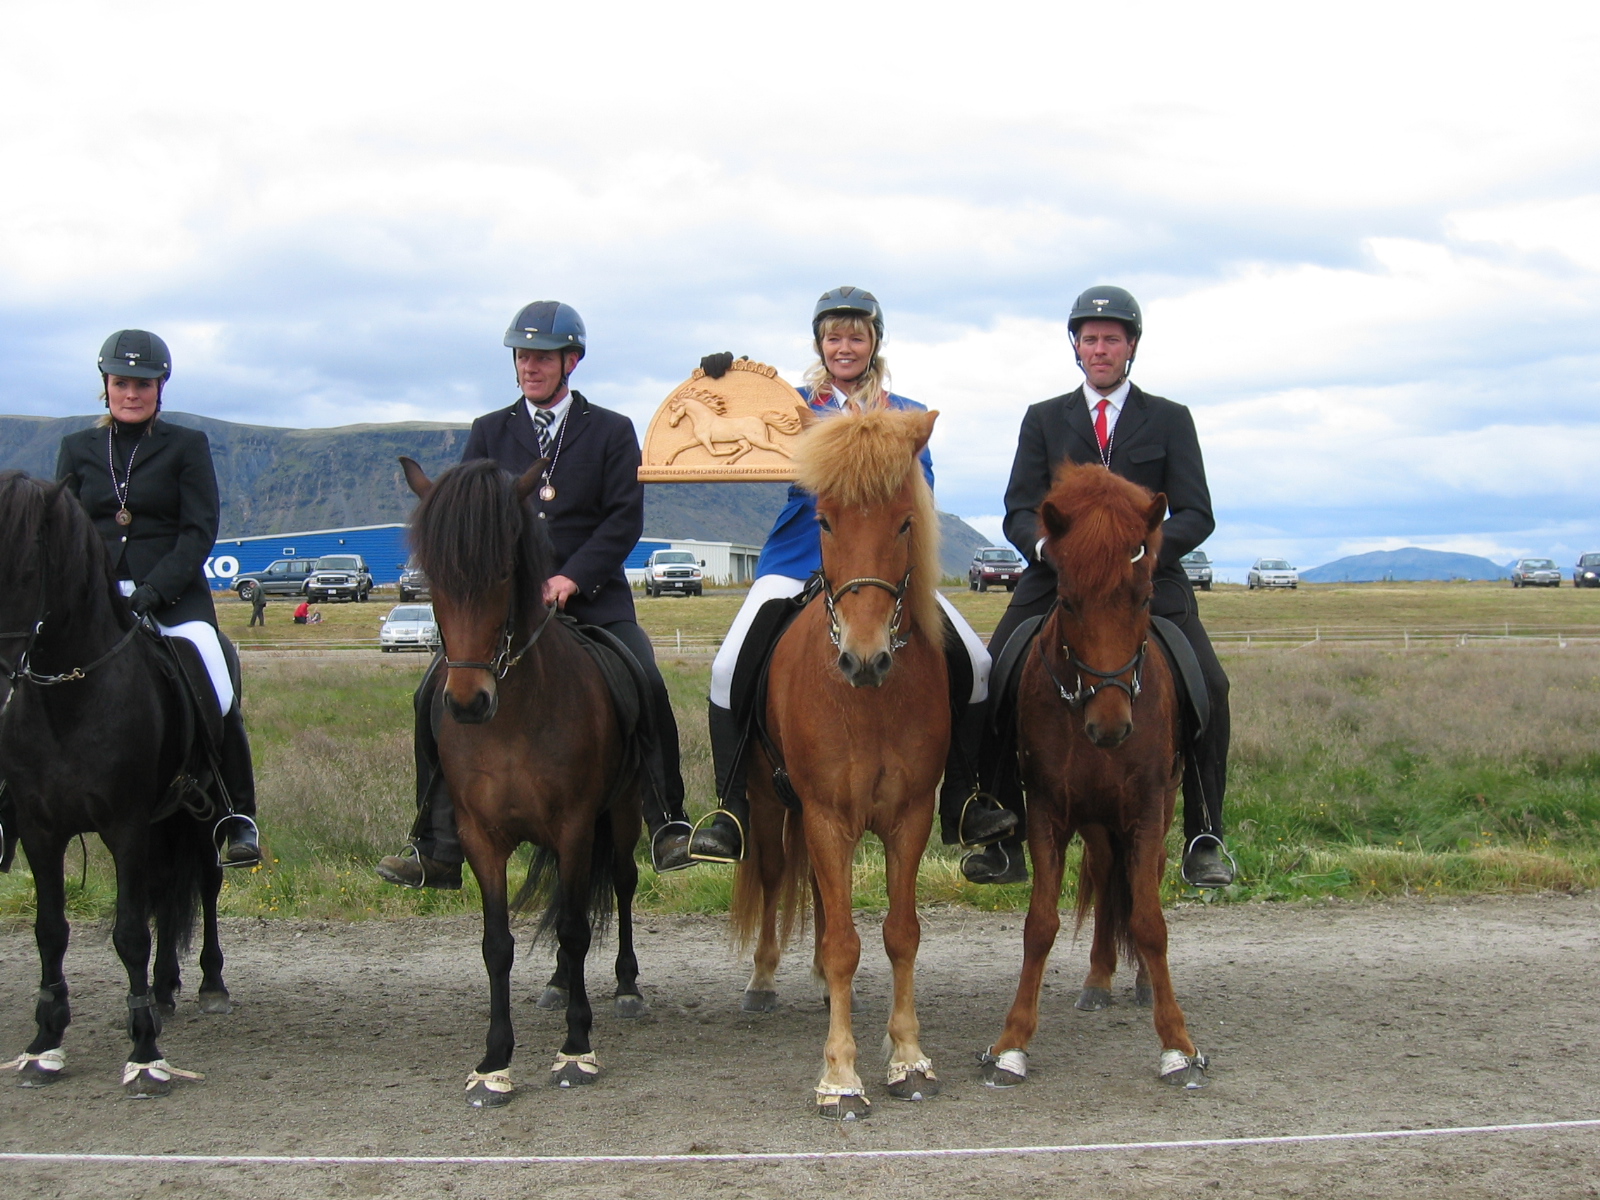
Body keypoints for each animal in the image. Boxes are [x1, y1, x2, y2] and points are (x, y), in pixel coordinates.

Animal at [0, 471, 231, 1099]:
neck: (69, 696)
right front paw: (44, 1042)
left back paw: (208, 985)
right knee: (164, 894)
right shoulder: (39, 829)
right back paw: (162, 989)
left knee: (204, 887)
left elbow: (129, 932)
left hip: (198, 821)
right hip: (161, 825)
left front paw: (146, 1053)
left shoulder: (124, 825)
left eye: (24, 569)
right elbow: (50, 931)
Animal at [398, 455, 647, 1107]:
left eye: (504, 572)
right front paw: (493, 1062)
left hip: (622, 813)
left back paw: (627, 986)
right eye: (431, 578)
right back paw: (558, 985)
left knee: (623, 885)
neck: (513, 719)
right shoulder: (480, 836)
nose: (467, 703)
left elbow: (576, 929)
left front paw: (576, 1049)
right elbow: (498, 944)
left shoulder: (577, 826)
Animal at [664, 389, 804, 464]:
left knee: (776, 446)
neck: (703, 418)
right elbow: (681, 447)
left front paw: (732, 449)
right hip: (742, 439)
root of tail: (762, 420)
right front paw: (668, 461)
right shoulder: (698, 440)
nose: (671, 423)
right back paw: (728, 461)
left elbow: (713, 452)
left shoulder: (705, 440)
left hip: (759, 440)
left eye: (675, 409)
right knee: (747, 448)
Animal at [730, 407, 949, 1119]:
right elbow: (845, 942)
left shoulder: (910, 817)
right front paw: (840, 1075)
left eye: (905, 521)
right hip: (770, 804)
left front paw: (907, 1056)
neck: (870, 702)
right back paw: (764, 979)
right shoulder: (824, 815)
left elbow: (899, 933)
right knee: (778, 879)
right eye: (822, 519)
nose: (864, 658)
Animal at [980, 463, 1208, 1090]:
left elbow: (1150, 920)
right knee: (1108, 875)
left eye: (1144, 595)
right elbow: (1040, 924)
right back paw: (1099, 979)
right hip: (1097, 818)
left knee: (1145, 875)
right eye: (1066, 598)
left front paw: (1177, 1044)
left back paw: (1141, 983)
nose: (1109, 726)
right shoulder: (1048, 811)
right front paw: (1012, 1043)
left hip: (1155, 805)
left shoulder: (1148, 807)